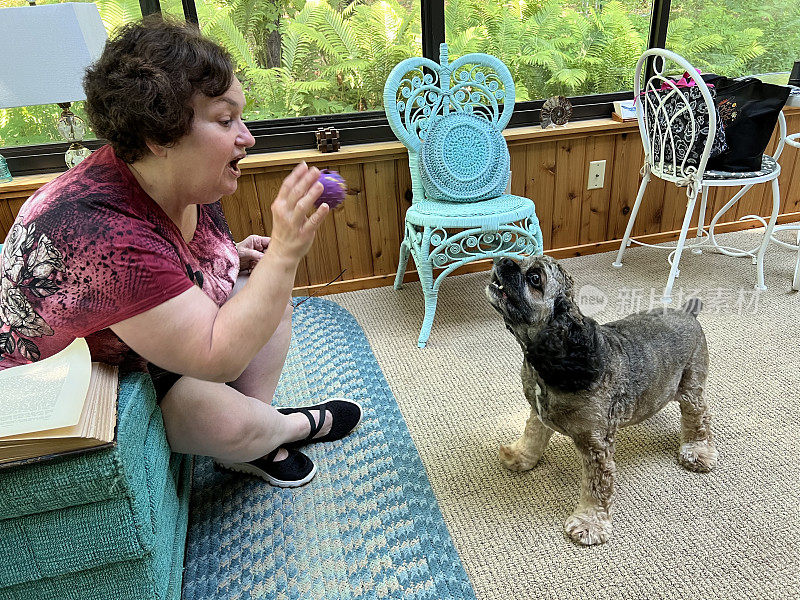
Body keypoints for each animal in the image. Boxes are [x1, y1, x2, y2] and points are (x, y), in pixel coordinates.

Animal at [488, 255, 720, 548]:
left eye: (535, 278)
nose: (502, 259)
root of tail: (687, 312)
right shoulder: (538, 411)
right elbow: (532, 435)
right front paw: (519, 457)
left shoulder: (595, 445)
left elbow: (597, 487)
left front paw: (590, 523)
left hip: (691, 387)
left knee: (698, 418)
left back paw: (697, 450)